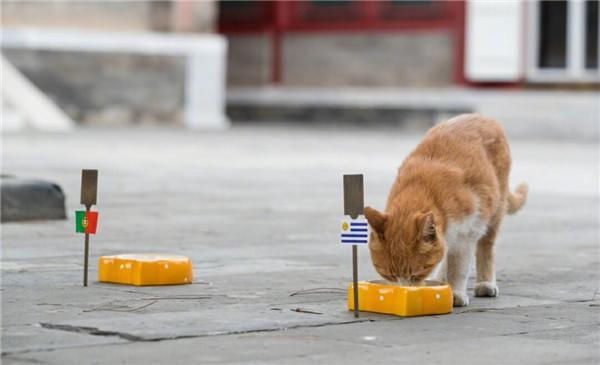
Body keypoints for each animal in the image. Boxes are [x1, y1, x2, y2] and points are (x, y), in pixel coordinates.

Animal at [364, 113, 528, 304]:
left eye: (416, 274)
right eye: (389, 275)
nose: (405, 290)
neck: (421, 188)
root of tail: (482, 116)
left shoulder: (466, 232)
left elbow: (459, 266)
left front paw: (455, 292)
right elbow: (447, 256)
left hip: (494, 210)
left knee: (485, 247)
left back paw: (485, 283)